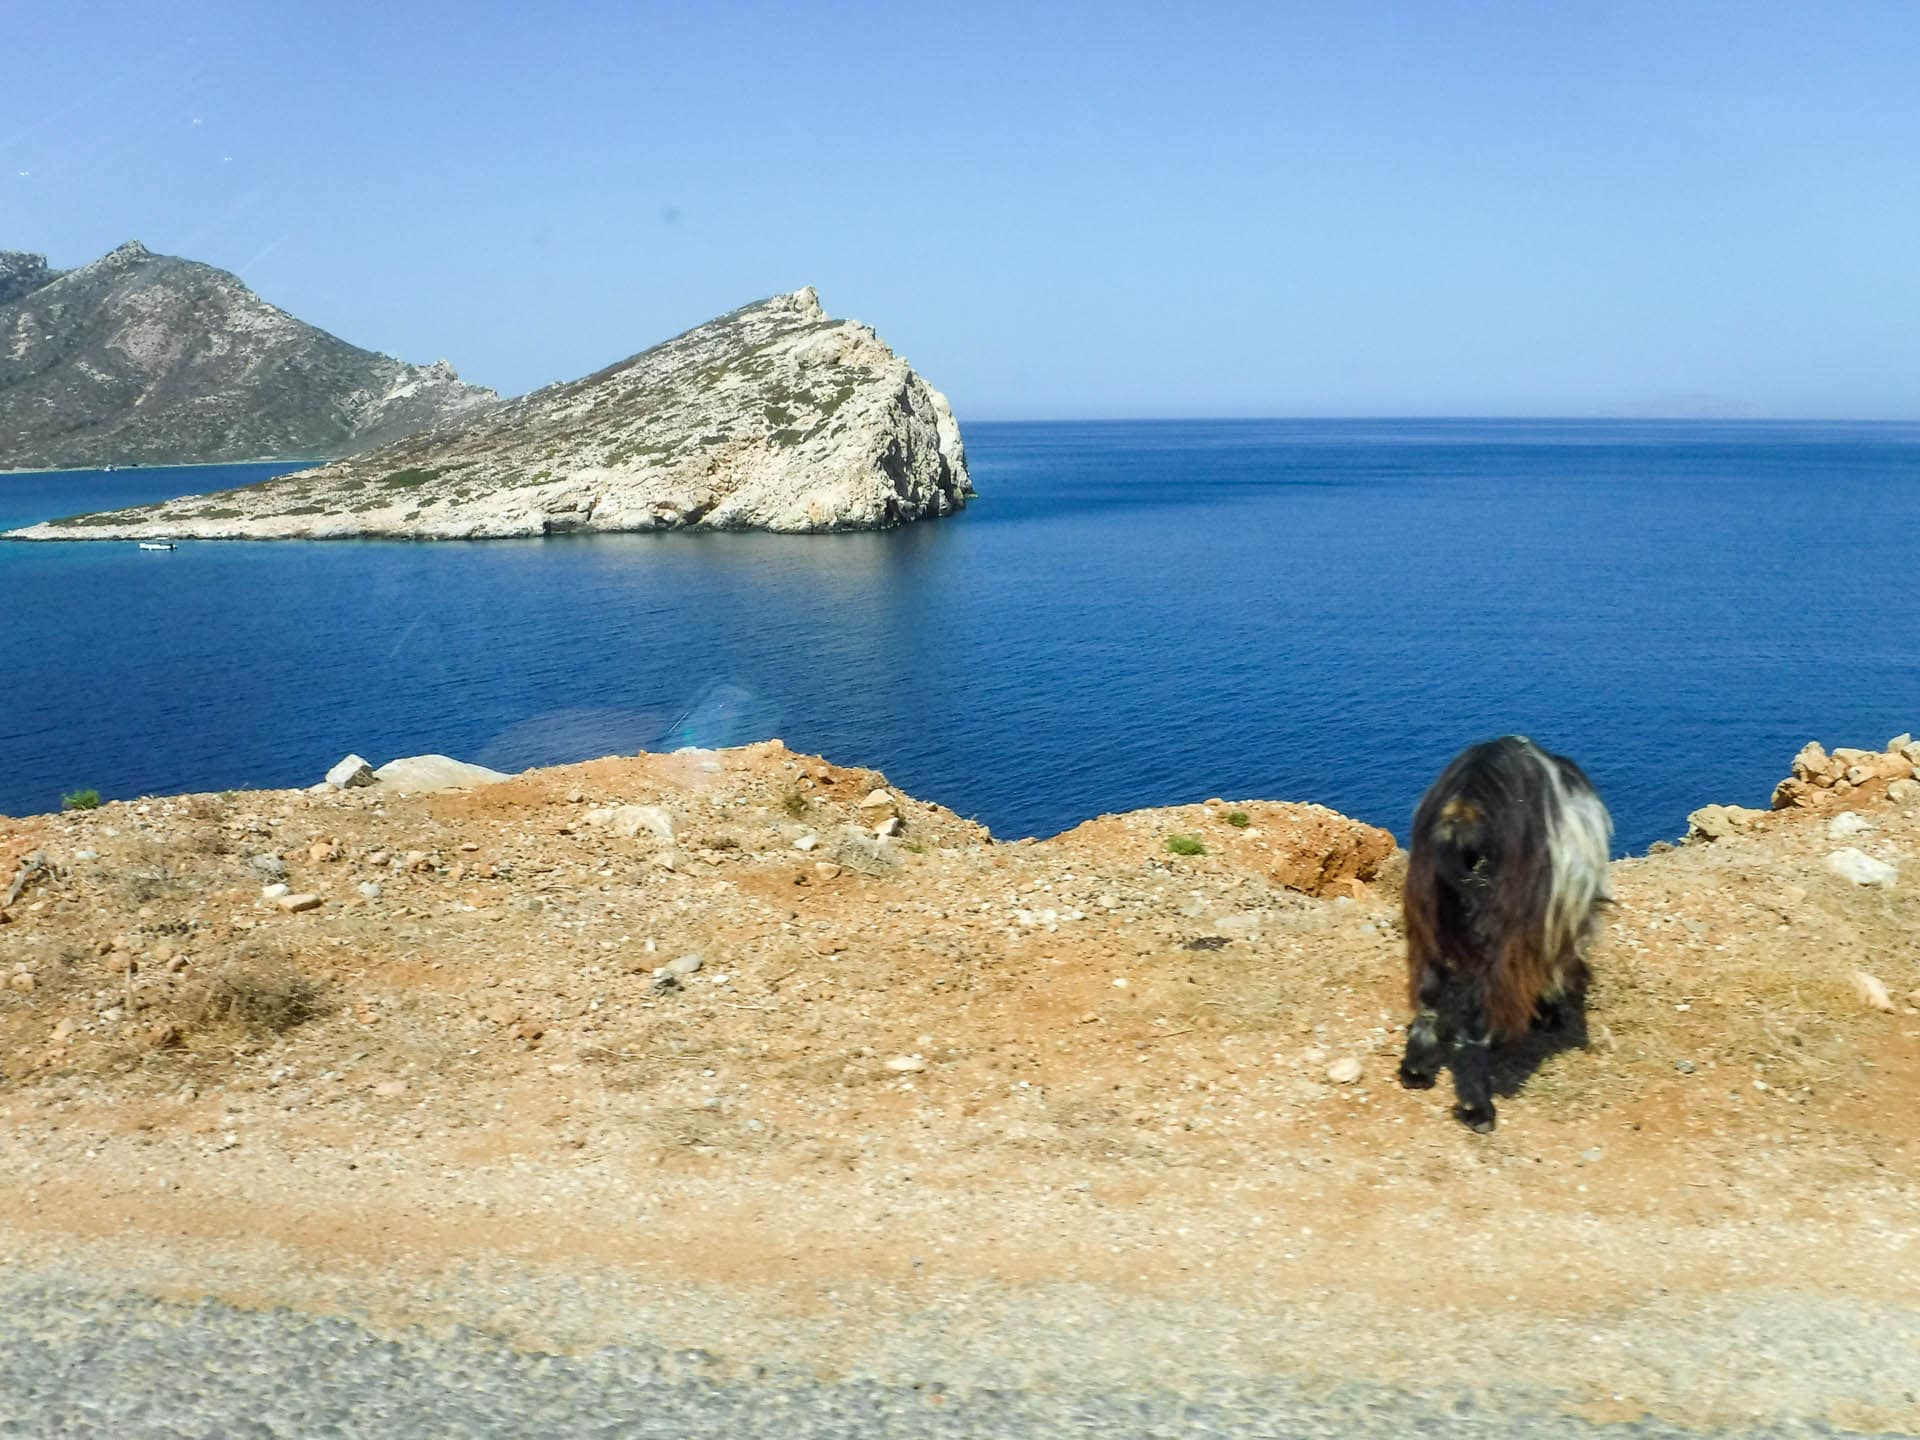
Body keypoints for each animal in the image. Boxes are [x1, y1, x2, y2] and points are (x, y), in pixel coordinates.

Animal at [1397, 735, 1612, 1132]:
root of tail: (1464, 815)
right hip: (1502, 934)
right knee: (1476, 1012)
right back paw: (1477, 1107)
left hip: (1427, 916)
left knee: (1429, 993)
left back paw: (1415, 1071)